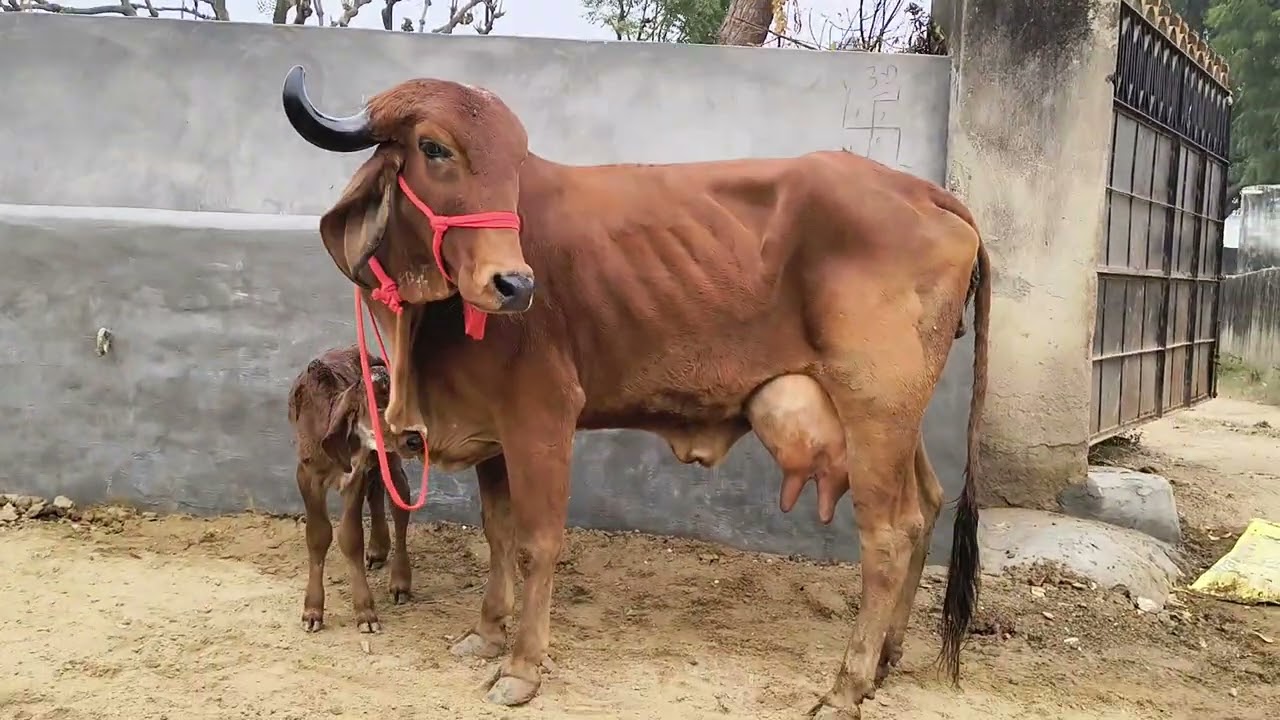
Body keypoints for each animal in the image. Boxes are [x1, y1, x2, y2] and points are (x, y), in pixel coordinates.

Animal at [287, 345, 425, 634]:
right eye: (377, 406)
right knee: (376, 491)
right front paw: (313, 611)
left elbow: (351, 538)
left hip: (390, 459)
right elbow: (318, 535)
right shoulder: (306, 475)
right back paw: (378, 549)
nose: (416, 439)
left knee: (399, 500)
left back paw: (400, 581)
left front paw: (365, 612)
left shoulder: (356, 474)